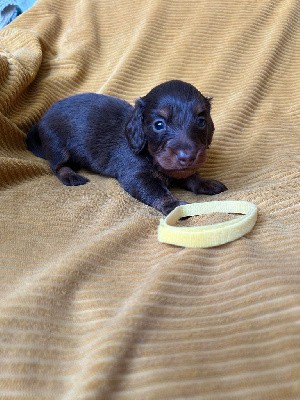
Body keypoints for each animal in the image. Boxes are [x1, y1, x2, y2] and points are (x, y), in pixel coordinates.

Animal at [26, 79, 227, 214]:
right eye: (159, 124)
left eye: (201, 121)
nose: (188, 157)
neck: (150, 155)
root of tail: (42, 118)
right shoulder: (136, 176)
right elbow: (156, 191)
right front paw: (173, 205)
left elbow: (191, 175)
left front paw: (204, 182)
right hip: (58, 146)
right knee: (58, 166)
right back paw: (70, 175)